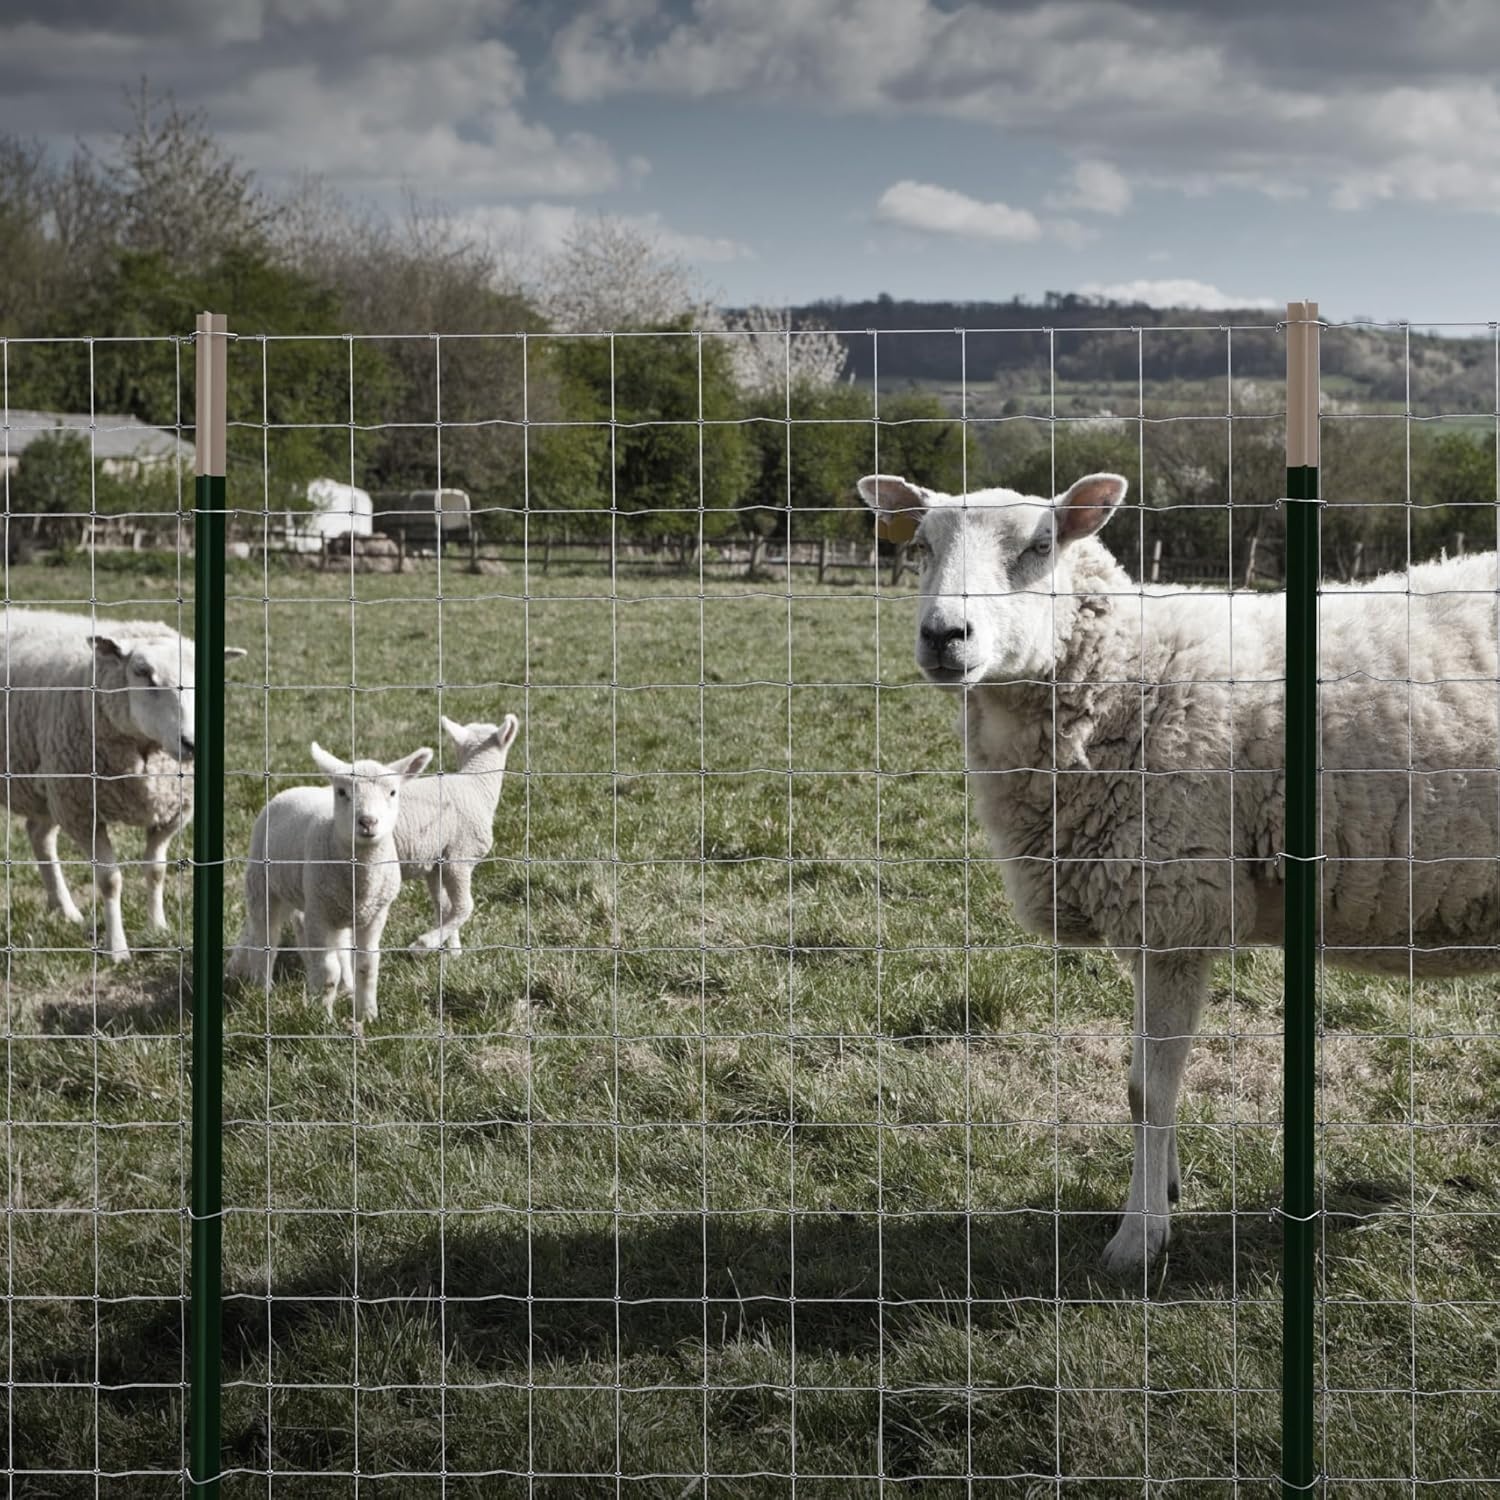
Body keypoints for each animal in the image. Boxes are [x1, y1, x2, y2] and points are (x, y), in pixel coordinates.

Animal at [1, 607, 246, 963]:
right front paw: (117, 948)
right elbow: (109, 880)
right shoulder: (82, 811)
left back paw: (65, 910)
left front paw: (158, 928)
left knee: (39, 835)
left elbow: (156, 870)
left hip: (49, 788)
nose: (192, 744)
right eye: (142, 672)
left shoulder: (170, 813)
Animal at [229, 741, 433, 1034]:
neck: (361, 874)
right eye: (342, 792)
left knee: (325, 940)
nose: (368, 822)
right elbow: (327, 971)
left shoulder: (374, 913)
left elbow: (367, 965)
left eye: (393, 792)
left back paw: (344, 988)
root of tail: (294, 788)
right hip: (264, 885)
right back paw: (262, 989)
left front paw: (368, 1015)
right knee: (266, 938)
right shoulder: (320, 913)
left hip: (323, 903)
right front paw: (323, 1019)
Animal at [396, 712, 520, 954]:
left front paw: (453, 951)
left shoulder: (434, 863)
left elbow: (444, 906)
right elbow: (464, 906)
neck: (476, 784)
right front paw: (425, 944)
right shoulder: (459, 857)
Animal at [858, 469, 1500, 1275]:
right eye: (919, 546)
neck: (1131, 675)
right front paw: (1161, 1190)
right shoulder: (1145, 916)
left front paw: (1138, 1241)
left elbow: (1148, 1091)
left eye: (1040, 546)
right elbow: (1142, 1081)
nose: (945, 636)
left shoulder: (1175, 907)